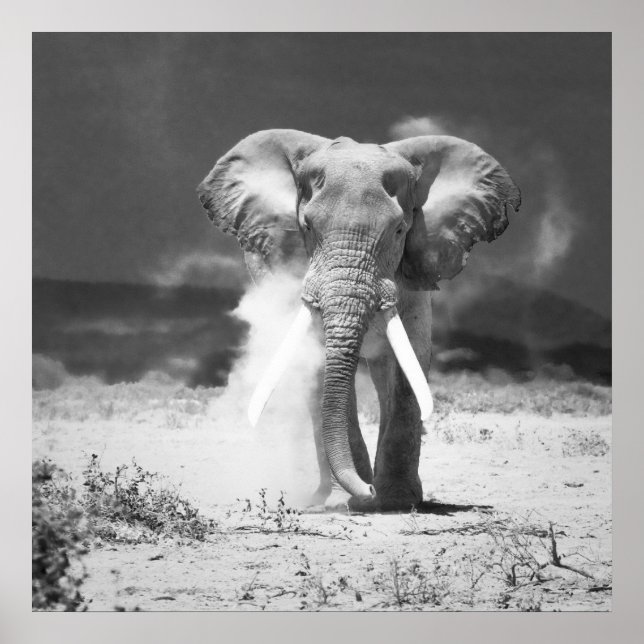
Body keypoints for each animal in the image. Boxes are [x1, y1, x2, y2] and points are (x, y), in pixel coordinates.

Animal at [197, 129, 521, 511]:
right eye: (307, 226)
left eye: (399, 231)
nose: (368, 492)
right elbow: (319, 365)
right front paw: (346, 500)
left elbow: (408, 365)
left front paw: (394, 501)